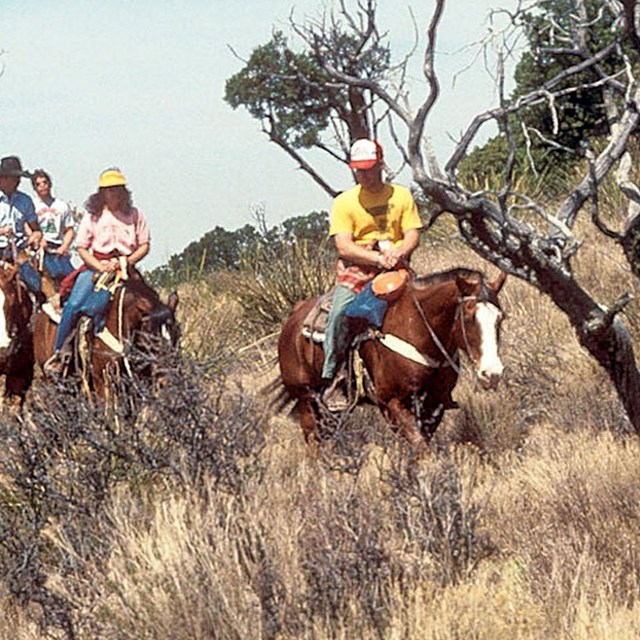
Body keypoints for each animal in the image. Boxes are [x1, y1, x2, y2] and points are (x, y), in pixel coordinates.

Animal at [278, 268, 508, 448]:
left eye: (500, 318)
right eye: (469, 317)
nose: (492, 374)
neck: (418, 329)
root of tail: (294, 316)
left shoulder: (435, 404)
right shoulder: (391, 402)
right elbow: (418, 444)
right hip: (305, 399)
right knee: (313, 443)